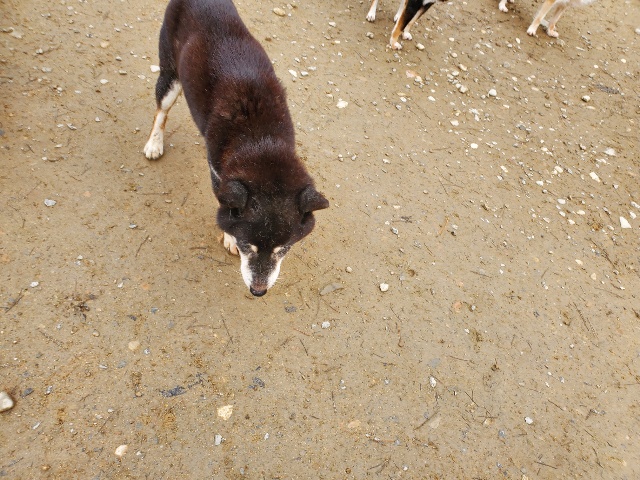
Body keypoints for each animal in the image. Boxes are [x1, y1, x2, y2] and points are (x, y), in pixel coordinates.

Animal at [144, 0, 329, 297]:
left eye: (283, 249)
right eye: (246, 245)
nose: (258, 291)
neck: (260, 140)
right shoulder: (218, 173)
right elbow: (224, 204)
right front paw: (228, 237)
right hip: (170, 73)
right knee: (161, 110)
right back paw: (154, 143)